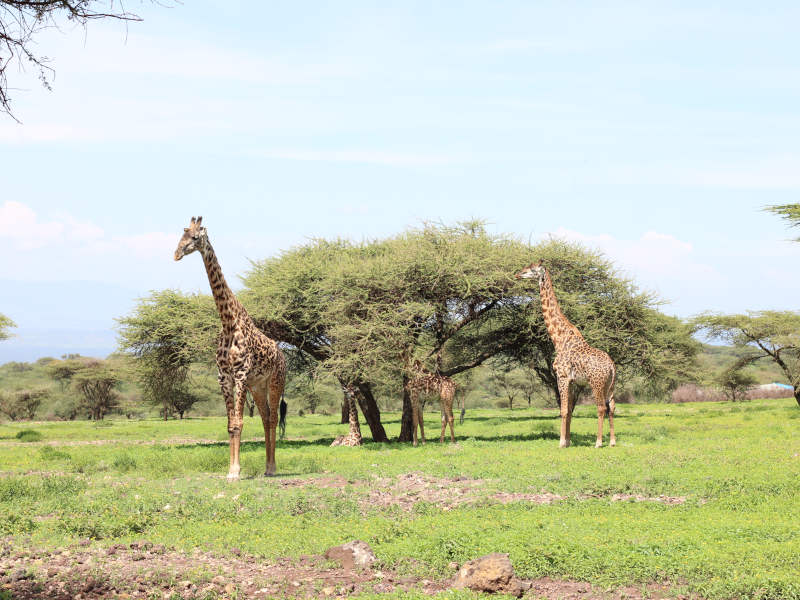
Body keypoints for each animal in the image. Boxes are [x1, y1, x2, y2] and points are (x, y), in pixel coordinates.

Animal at [174, 216, 288, 478]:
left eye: (195, 236)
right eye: (182, 233)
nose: (176, 254)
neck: (228, 322)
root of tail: (283, 355)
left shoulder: (241, 374)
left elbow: (239, 423)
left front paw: (235, 471)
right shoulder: (224, 376)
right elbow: (230, 425)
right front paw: (231, 470)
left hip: (276, 381)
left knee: (273, 418)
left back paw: (273, 468)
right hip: (258, 385)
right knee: (266, 417)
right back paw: (266, 467)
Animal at [512, 260, 620, 448]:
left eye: (532, 269)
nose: (518, 274)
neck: (558, 338)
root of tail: (611, 366)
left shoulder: (561, 376)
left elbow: (562, 410)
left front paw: (561, 442)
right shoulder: (571, 381)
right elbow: (569, 410)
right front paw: (568, 441)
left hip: (596, 383)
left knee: (601, 408)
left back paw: (599, 442)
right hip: (610, 385)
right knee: (611, 407)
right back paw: (612, 442)